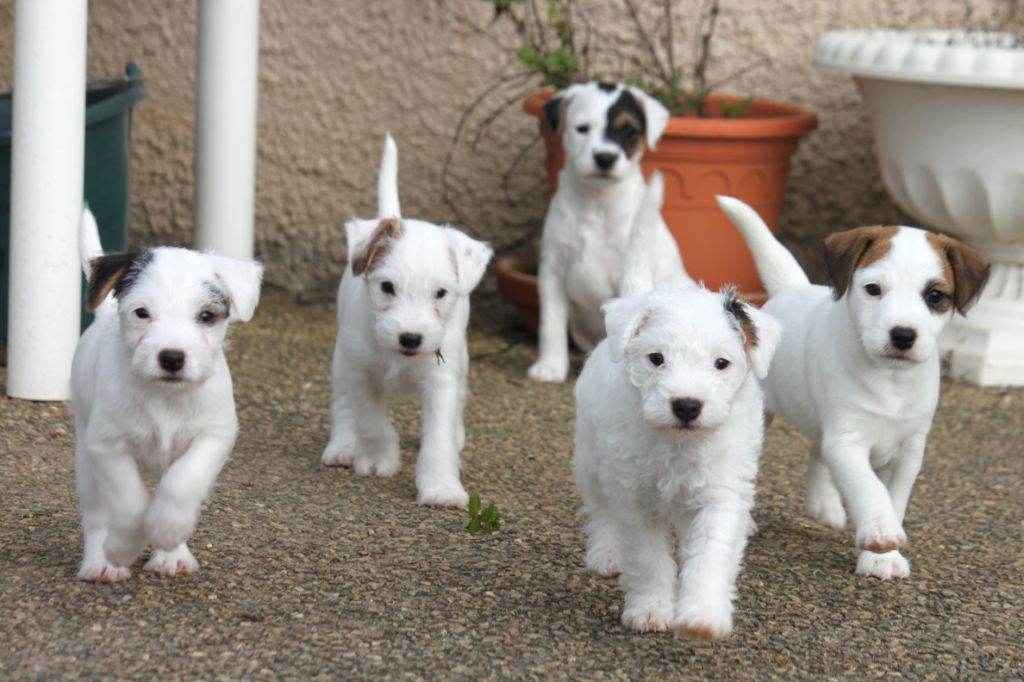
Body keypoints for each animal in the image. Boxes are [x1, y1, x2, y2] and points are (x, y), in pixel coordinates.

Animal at [73, 205, 264, 577]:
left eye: (206, 315)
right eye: (141, 313)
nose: (172, 358)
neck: (166, 398)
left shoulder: (213, 437)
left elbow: (181, 484)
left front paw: (166, 531)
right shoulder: (106, 445)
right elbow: (129, 502)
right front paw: (123, 547)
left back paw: (171, 555)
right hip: (86, 463)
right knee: (98, 514)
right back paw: (101, 562)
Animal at [323, 133, 491, 507]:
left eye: (440, 293)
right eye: (387, 287)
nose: (410, 338)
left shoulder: (442, 381)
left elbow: (439, 438)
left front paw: (442, 488)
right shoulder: (361, 374)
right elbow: (371, 423)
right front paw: (377, 459)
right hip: (341, 362)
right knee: (343, 407)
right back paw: (343, 445)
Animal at [524, 79, 692, 382]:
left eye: (628, 130)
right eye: (582, 128)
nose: (605, 157)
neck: (597, 203)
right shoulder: (553, 271)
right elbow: (551, 323)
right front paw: (551, 365)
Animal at [716, 193, 987, 577]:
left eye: (935, 296)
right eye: (873, 289)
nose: (903, 335)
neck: (891, 380)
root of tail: (792, 289)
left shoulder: (909, 450)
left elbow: (893, 498)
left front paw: (883, 556)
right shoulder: (847, 441)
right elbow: (869, 488)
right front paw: (880, 535)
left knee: (817, 448)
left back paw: (824, 505)